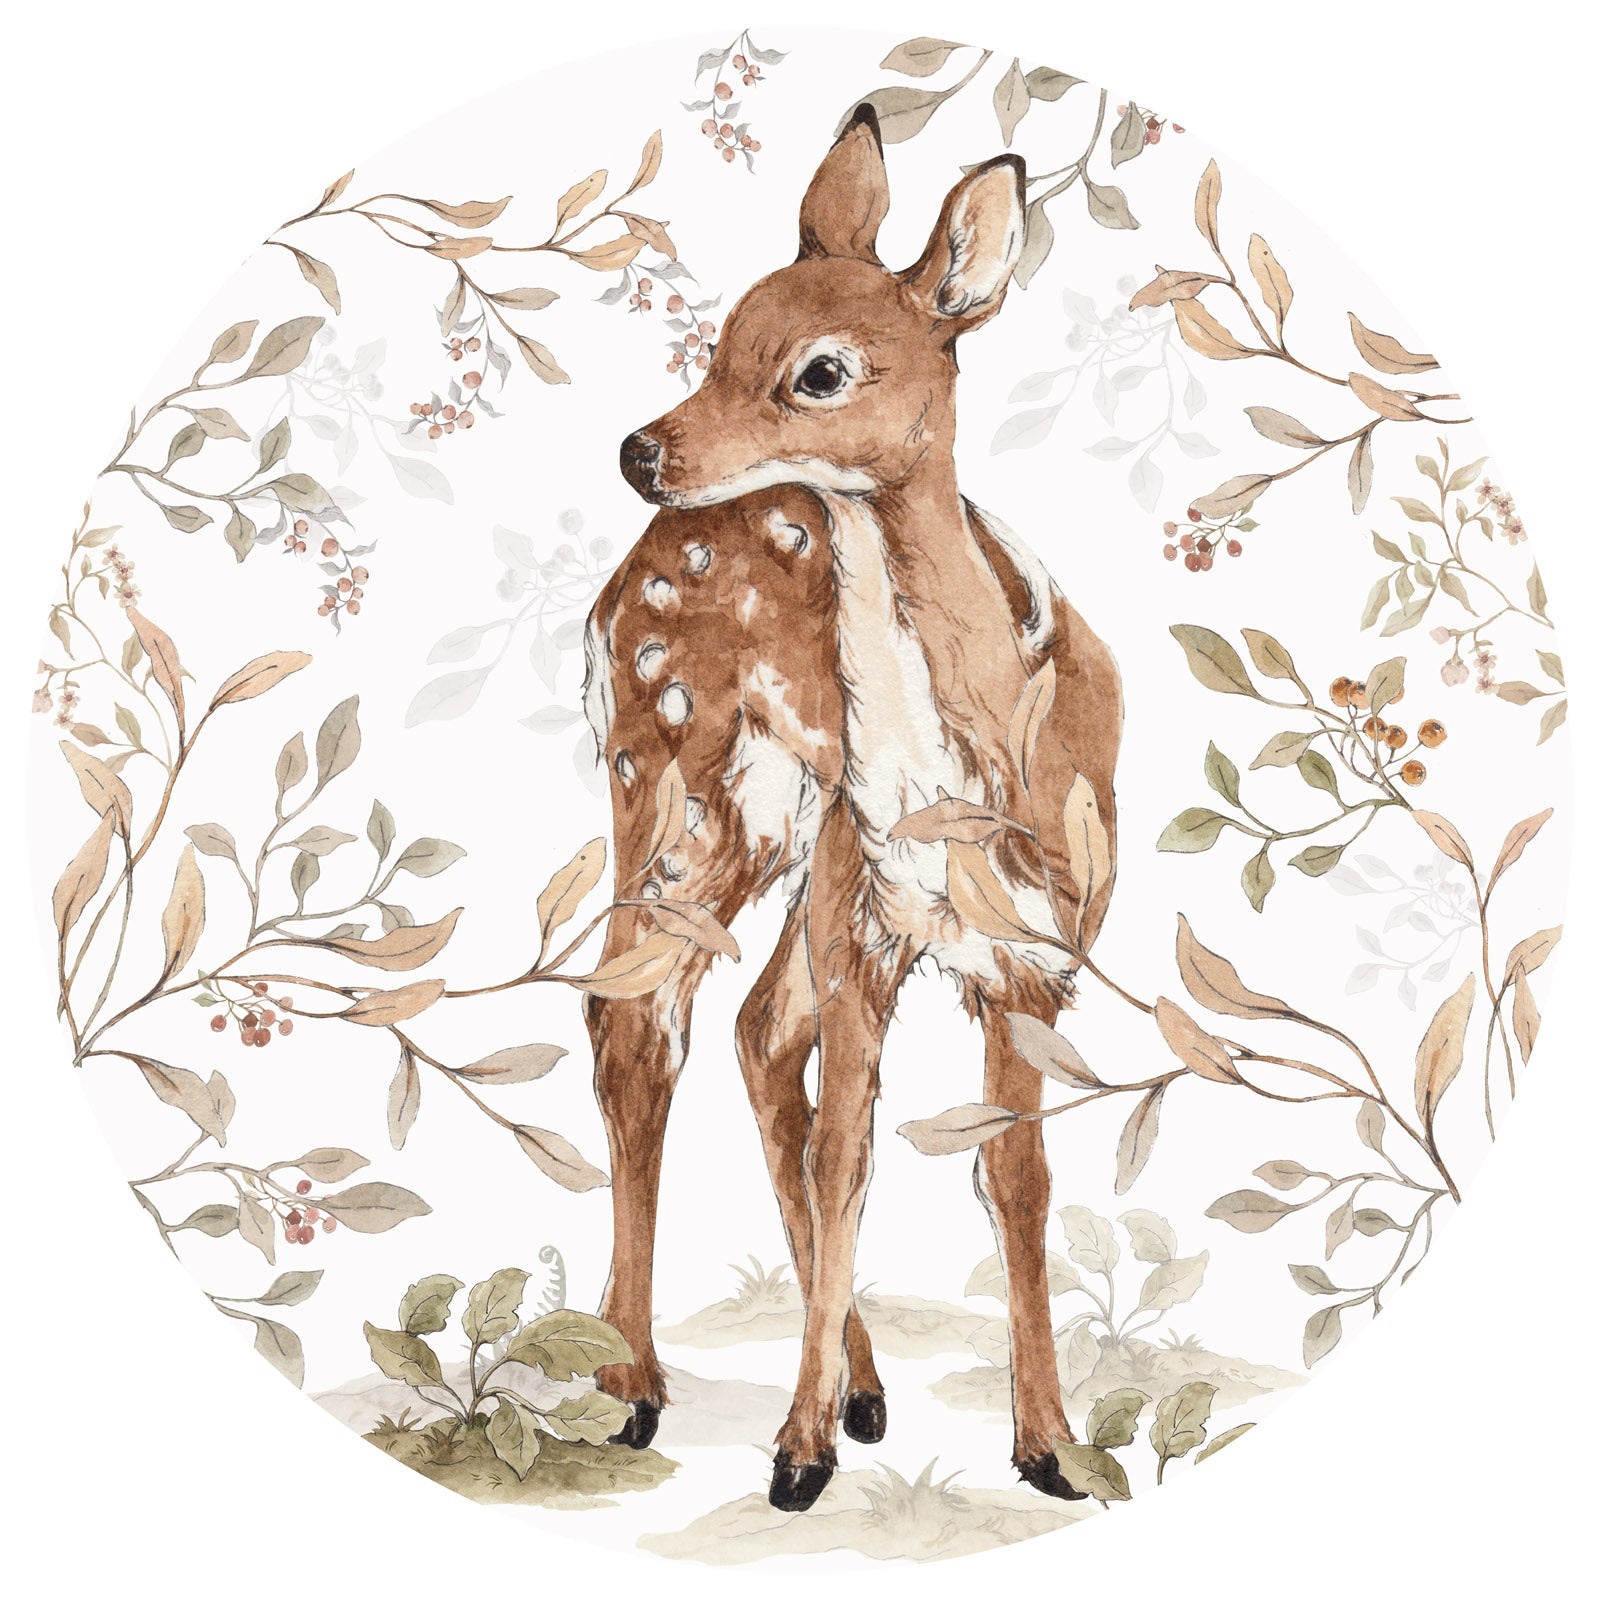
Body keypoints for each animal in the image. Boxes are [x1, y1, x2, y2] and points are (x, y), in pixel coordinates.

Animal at [579, 104, 1123, 1513]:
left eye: (818, 370)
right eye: (724, 335)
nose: (642, 449)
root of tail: (619, 588)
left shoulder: (1034, 950)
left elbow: (1012, 1172)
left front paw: (1049, 1447)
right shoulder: (868, 919)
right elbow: (848, 1154)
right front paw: (796, 1451)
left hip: (786, 834)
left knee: (750, 1029)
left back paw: (861, 1393)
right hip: (686, 781)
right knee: (640, 1019)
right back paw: (629, 1387)